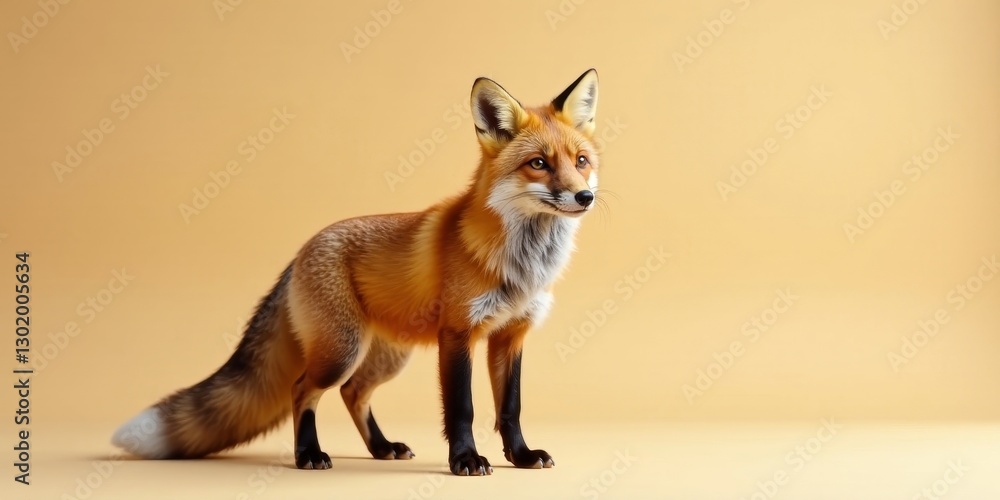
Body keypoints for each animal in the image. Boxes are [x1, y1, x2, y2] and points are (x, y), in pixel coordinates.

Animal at [112, 69, 601, 476]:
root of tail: (301, 251)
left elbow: (510, 408)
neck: (523, 263)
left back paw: (381, 449)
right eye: (538, 163)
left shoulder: (511, 335)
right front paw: (465, 459)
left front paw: (520, 457)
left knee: (353, 393)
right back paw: (308, 454)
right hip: (340, 351)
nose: (584, 197)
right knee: (302, 390)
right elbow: (463, 408)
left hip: (386, 355)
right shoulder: (458, 333)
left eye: (581, 161)